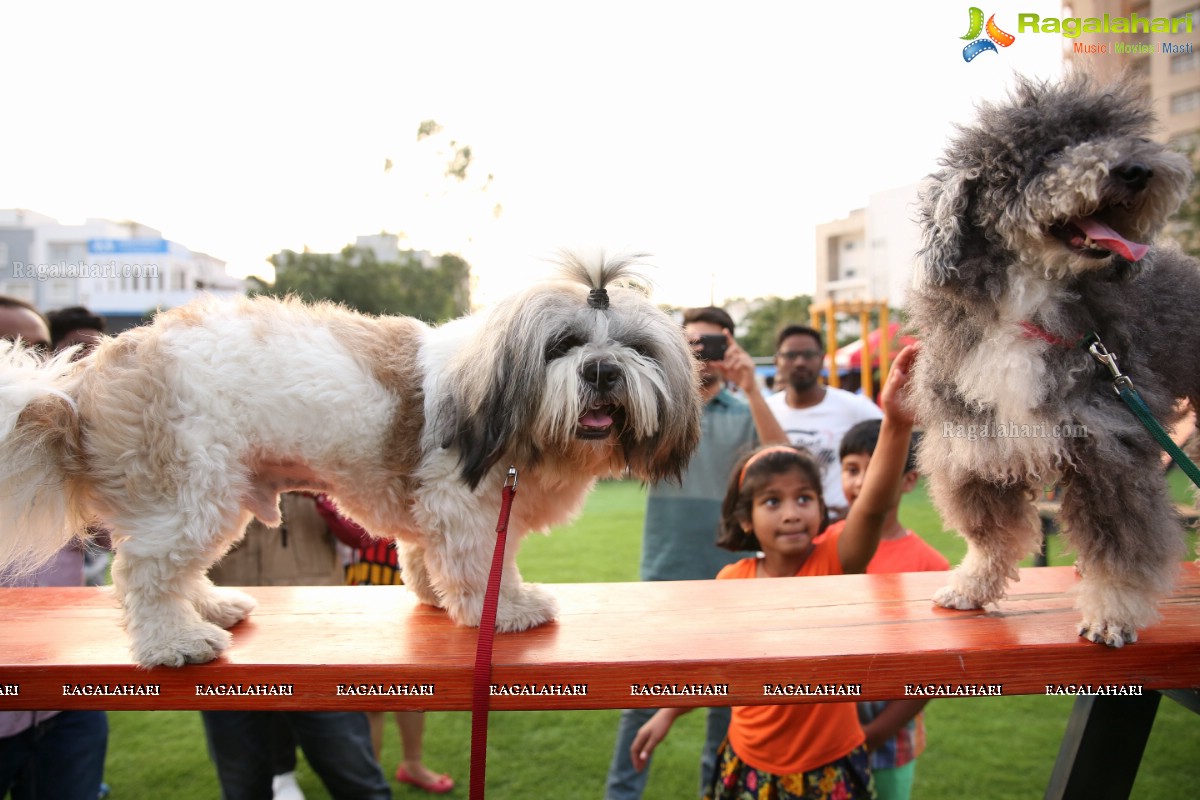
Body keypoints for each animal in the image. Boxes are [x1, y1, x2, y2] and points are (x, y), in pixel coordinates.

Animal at [0, 256, 700, 671]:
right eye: (564, 344)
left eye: (636, 349)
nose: (603, 369)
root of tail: (88, 379)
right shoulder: (467, 506)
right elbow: (482, 567)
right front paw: (507, 608)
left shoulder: (437, 506)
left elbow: (426, 553)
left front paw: (433, 594)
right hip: (187, 487)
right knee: (143, 573)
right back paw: (175, 642)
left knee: (168, 568)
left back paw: (209, 608)